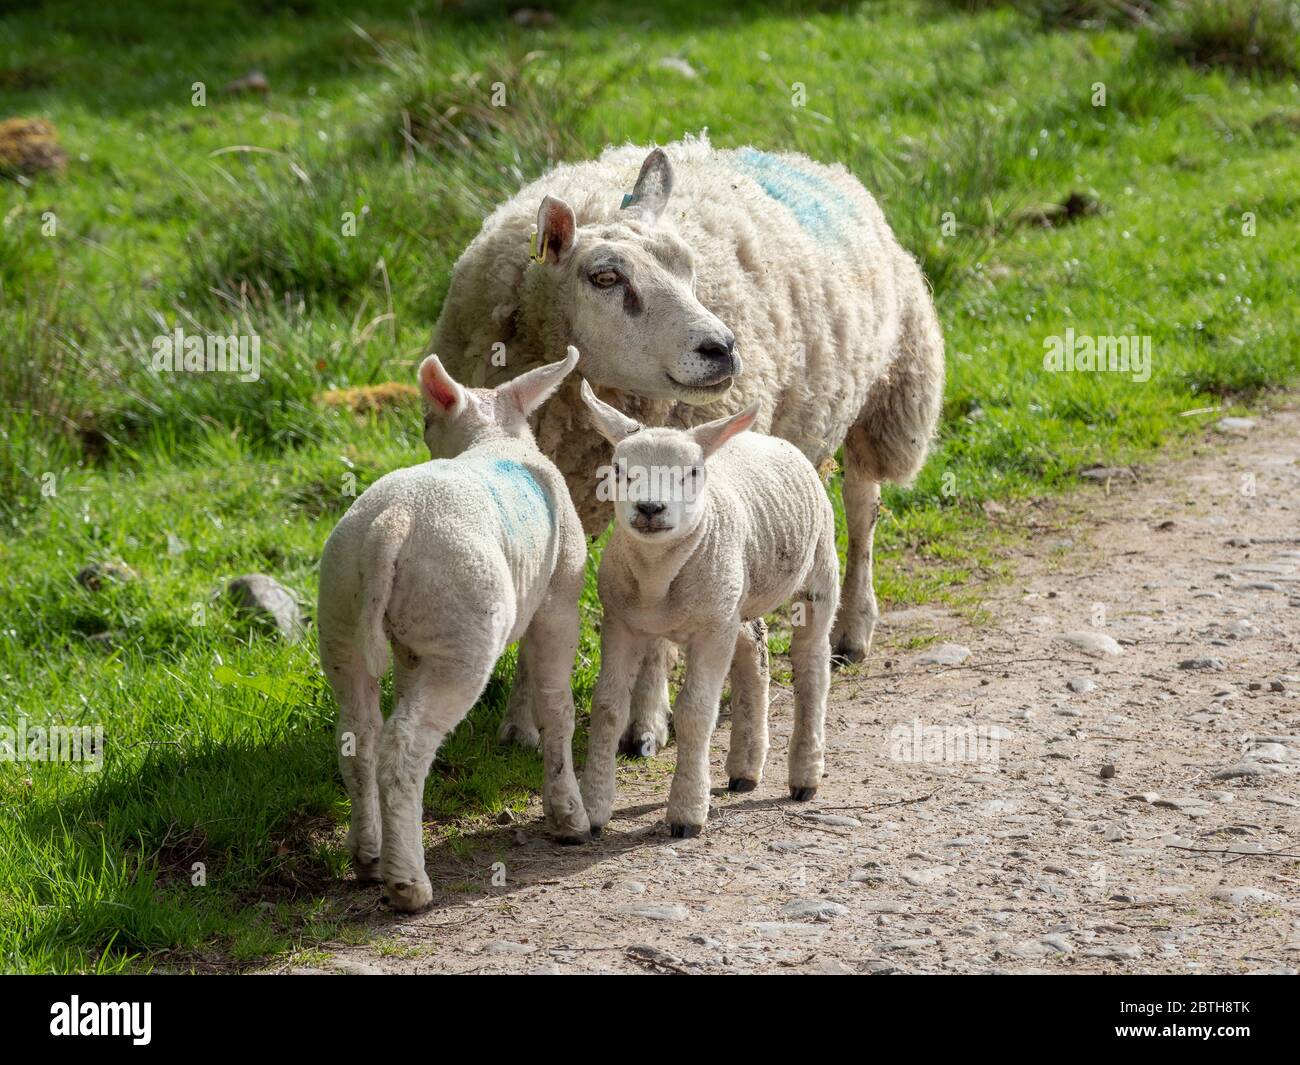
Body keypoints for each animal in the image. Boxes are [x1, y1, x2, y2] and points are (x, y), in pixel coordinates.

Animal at [318, 345, 590, 910]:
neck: (493, 438)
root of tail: (392, 524)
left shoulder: (409, 647)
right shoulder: (559, 600)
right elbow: (557, 707)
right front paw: (568, 816)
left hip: (343, 612)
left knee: (358, 736)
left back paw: (369, 855)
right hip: (462, 632)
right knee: (403, 747)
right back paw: (408, 883)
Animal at [577, 382, 837, 842]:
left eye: (693, 473)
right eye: (620, 469)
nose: (649, 508)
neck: (657, 578)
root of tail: (767, 437)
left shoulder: (712, 629)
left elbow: (696, 712)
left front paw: (687, 811)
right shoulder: (621, 623)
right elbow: (608, 708)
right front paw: (593, 809)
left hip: (818, 571)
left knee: (812, 668)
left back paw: (805, 773)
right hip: (735, 594)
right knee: (756, 651)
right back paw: (745, 768)